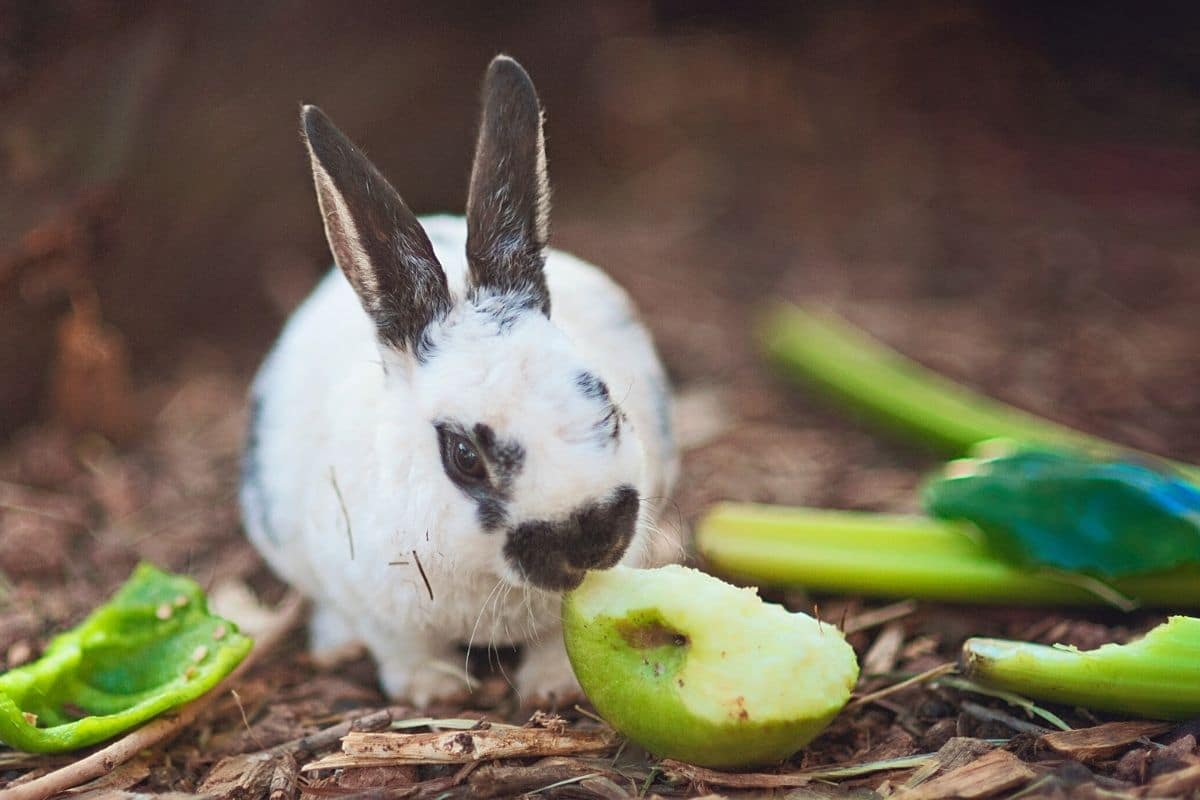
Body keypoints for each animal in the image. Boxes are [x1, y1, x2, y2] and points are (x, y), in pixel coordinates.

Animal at [238, 56, 681, 705]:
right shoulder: (375, 604)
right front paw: (436, 692)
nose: (593, 537)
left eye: (607, 405)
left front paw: (550, 688)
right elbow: (401, 649)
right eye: (465, 456)